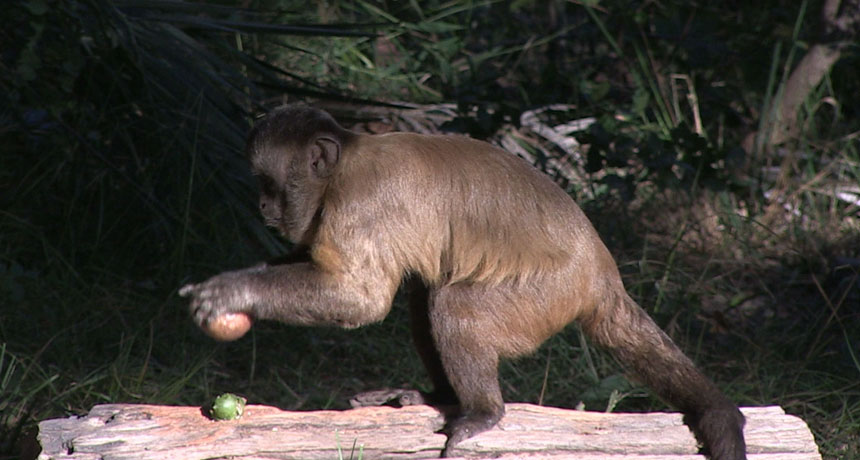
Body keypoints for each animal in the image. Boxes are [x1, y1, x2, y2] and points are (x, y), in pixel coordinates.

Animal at [179, 104, 746, 459]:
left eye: (269, 185)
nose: (262, 206)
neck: (347, 160)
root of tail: (602, 273)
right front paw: (241, 278)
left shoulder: (360, 203)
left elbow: (360, 300)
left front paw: (234, 291)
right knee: (425, 294)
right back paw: (438, 395)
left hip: (548, 295)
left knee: (451, 304)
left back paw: (481, 412)